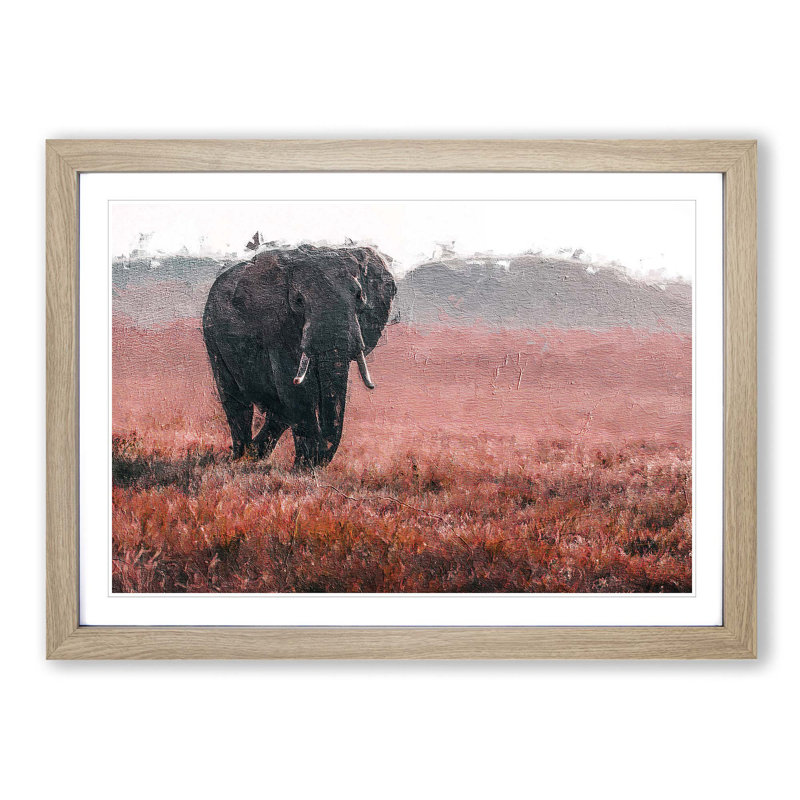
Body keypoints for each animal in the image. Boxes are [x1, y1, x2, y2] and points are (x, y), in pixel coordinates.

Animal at [202, 244, 396, 469]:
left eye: (359, 296)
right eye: (298, 301)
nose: (321, 453)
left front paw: (307, 463)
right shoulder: (276, 327)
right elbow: (296, 390)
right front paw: (303, 468)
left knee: (278, 410)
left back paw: (254, 454)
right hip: (212, 336)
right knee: (236, 403)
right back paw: (239, 458)